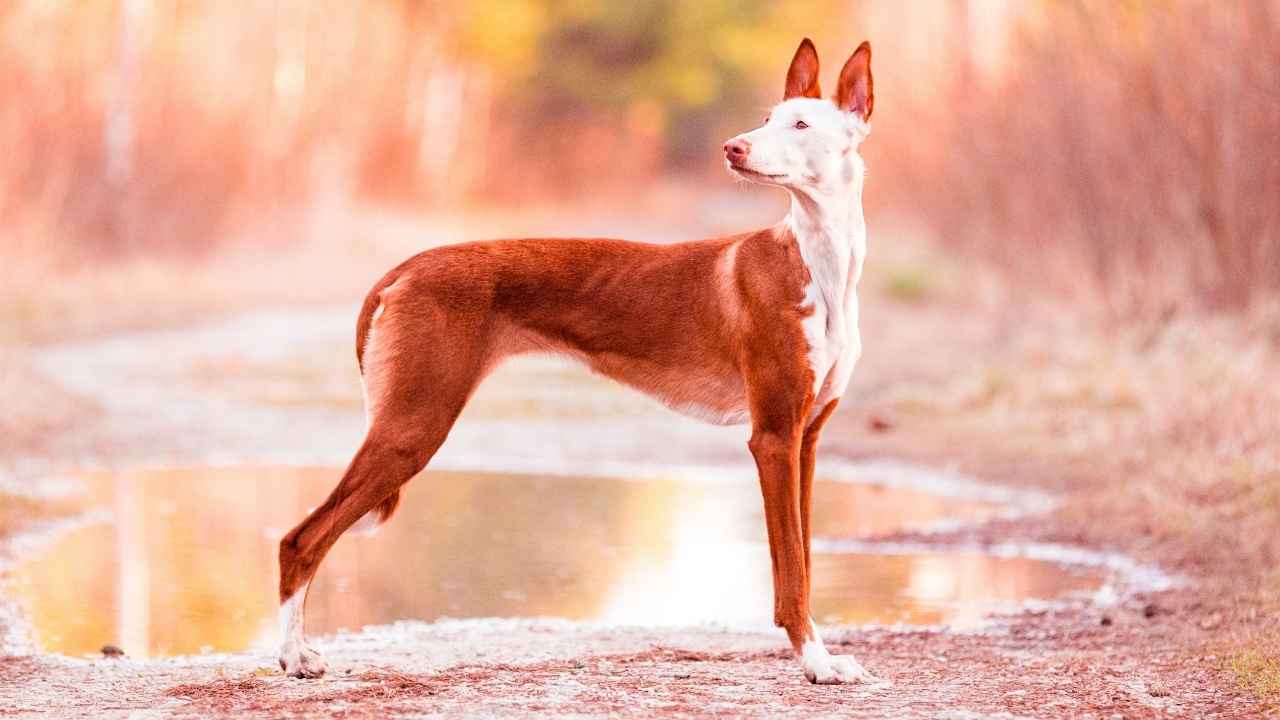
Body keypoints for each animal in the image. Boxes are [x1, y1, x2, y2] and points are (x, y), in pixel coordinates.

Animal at [277, 35, 880, 681]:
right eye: (767, 119)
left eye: (799, 123)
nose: (732, 147)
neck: (818, 266)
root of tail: (405, 267)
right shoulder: (772, 437)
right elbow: (792, 571)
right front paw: (816, 661)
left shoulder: (805, 437)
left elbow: (806, 561)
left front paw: (819, 654)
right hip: (413, 426)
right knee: (300, 539)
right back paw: (292, 655)